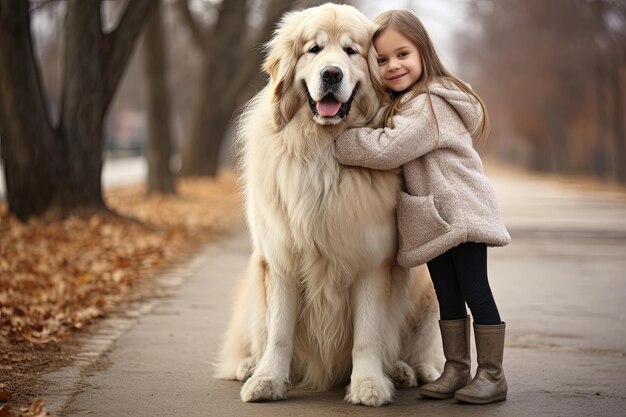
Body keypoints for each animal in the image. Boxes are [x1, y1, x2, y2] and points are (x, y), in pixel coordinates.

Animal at [217, 2, 442, 406]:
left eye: (352, 51)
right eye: (314, 50)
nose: (332, 73)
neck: (323, 148)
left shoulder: (373, 260)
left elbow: (367, 334)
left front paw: (368, 384)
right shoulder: (280, 258)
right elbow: (278, 331)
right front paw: (267, 380)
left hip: (427, 293)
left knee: (421, 350)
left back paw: (406, 370)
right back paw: (248, 365)